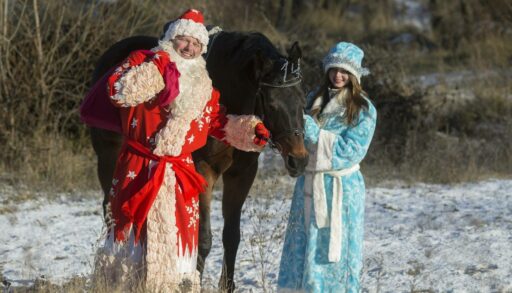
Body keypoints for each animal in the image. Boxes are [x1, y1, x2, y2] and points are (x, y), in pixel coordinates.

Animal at [89, 29, 308, 290]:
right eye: (272, 103)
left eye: (302, 100)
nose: (299, 159)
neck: (229, 96)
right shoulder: (204, 171)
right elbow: (203, 239)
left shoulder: (242, 174)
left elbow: (231, 236)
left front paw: (227, 286)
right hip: (109, 159)